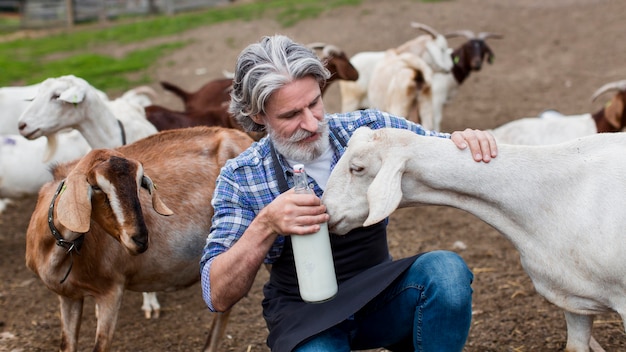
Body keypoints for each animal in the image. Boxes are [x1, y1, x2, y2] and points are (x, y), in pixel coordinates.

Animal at [23, 126, 254, 352]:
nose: (140, 239)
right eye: (96, 187)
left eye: (139, 183)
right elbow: (67, 344)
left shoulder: (111, 291)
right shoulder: (68, 297)